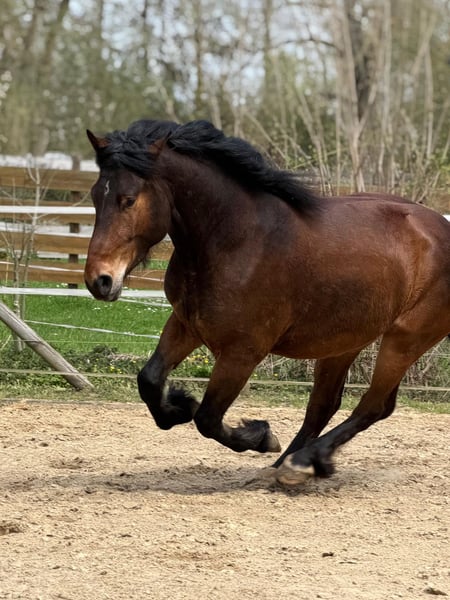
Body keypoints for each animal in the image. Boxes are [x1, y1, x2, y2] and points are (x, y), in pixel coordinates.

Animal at [84, 119, 450, 486]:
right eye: (95, 196)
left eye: (129, 200)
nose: (99, 281)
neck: (236, 240)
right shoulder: (186, 324)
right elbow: (150, 380)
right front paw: (178, 404)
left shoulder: (243, 351)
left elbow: (208, 417)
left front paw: (260, 436)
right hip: (345, 340)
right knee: (326, 405)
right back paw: (289, 466)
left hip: (405, 339)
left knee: (372, 405)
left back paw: (301, 462)